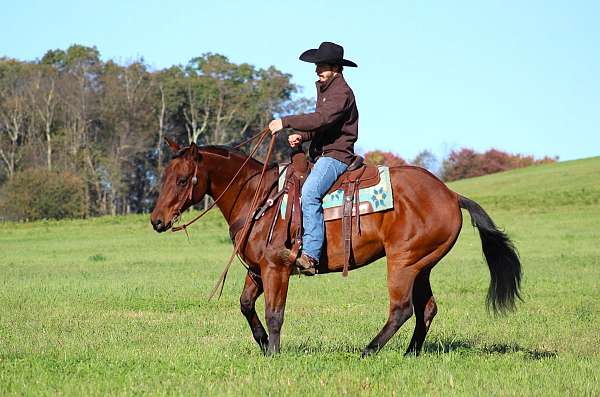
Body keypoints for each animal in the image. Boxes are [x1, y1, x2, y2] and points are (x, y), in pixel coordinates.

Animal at [150, 138, 520, 356]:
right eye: (165, 175)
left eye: (182, 180)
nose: (157, 221)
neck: (260, 198)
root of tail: (450, 194)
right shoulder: (257, 270)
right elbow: (245, 305)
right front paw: (263, 344)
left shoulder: (276, 268)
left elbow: (275, 313)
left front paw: (274, 353)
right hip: (422, 265)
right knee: (426, 308)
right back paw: (410, 353)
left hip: (403, 261)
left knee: (402, 309)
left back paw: (368, 351)